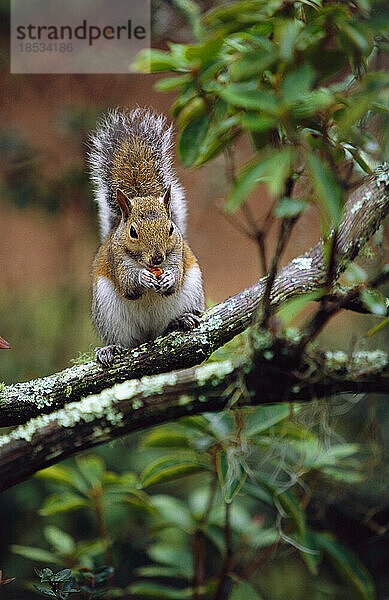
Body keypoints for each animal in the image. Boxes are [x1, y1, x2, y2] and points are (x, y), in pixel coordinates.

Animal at [87, 107, 205, 366]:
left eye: (170, 228)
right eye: (133, 232)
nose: (158, 259)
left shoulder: (178, 253)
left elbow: (176, 278)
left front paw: (169, 278)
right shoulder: (116, 259)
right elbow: (128, 285)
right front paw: (142, 278)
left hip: (192, 292)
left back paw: (181, 320)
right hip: (109, 313)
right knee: (125, 340)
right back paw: (111, 349)